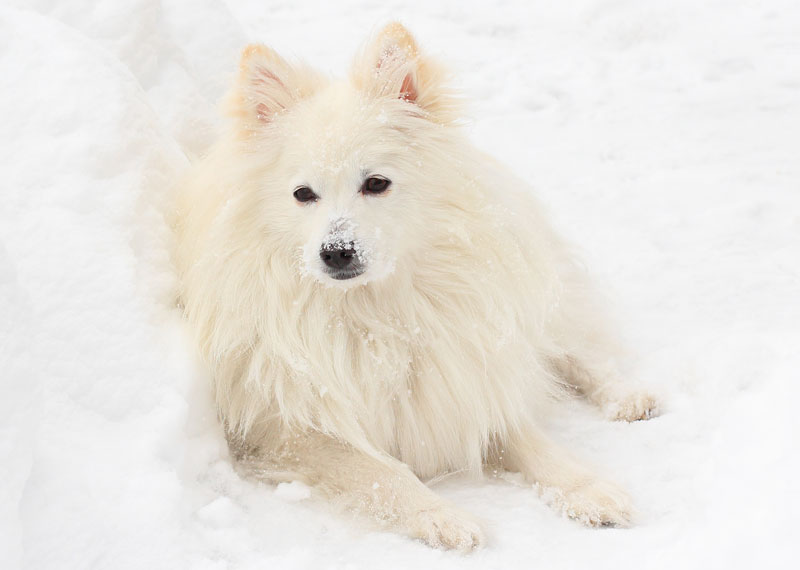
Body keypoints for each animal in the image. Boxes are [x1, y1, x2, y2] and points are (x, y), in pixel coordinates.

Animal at [173, 23, 656, 552]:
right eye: (302, 194)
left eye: (376, 183)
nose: (336, 251)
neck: (372, 312)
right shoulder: (293, 429)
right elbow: (381, 473)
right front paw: (440, 515)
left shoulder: (465, 379)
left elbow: (528, 440)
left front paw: (587, 487)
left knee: (576, 350)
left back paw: (628, 397)